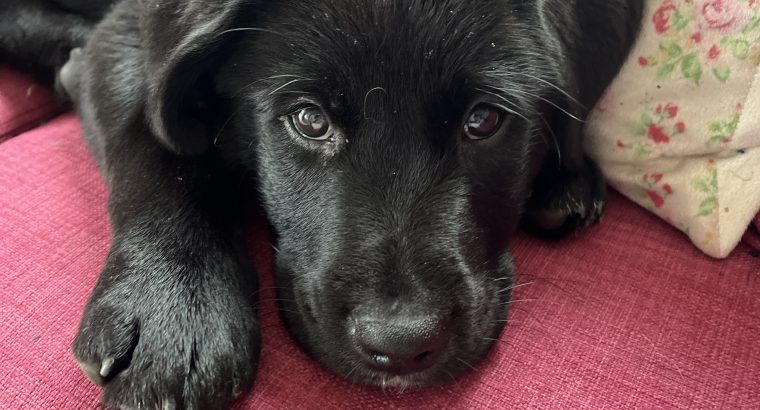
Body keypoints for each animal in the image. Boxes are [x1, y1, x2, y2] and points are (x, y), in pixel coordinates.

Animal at [0, 0, 640, 406]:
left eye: (484, 121)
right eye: (309, 119)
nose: (400, 344)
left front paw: (565, 173)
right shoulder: (127, 37)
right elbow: (158, 139)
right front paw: (174, 307)